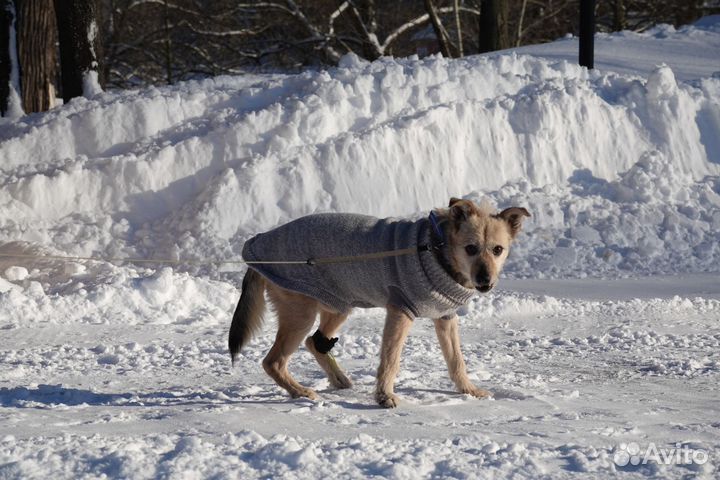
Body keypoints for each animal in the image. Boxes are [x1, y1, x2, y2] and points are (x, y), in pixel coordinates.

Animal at [229, 197, 528, 406]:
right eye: (470, 248)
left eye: (497, 250)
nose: (485, 281)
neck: (437, 251)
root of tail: (254, 249)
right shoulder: (400, 311)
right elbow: (390, 359)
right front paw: (384, 396)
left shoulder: (445, 318)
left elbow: (456, 361)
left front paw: (468, 390)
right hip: (301, 313)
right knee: (274, 362)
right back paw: (300, 391)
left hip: (338, 304)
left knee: (315, 342)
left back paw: (338, 379)